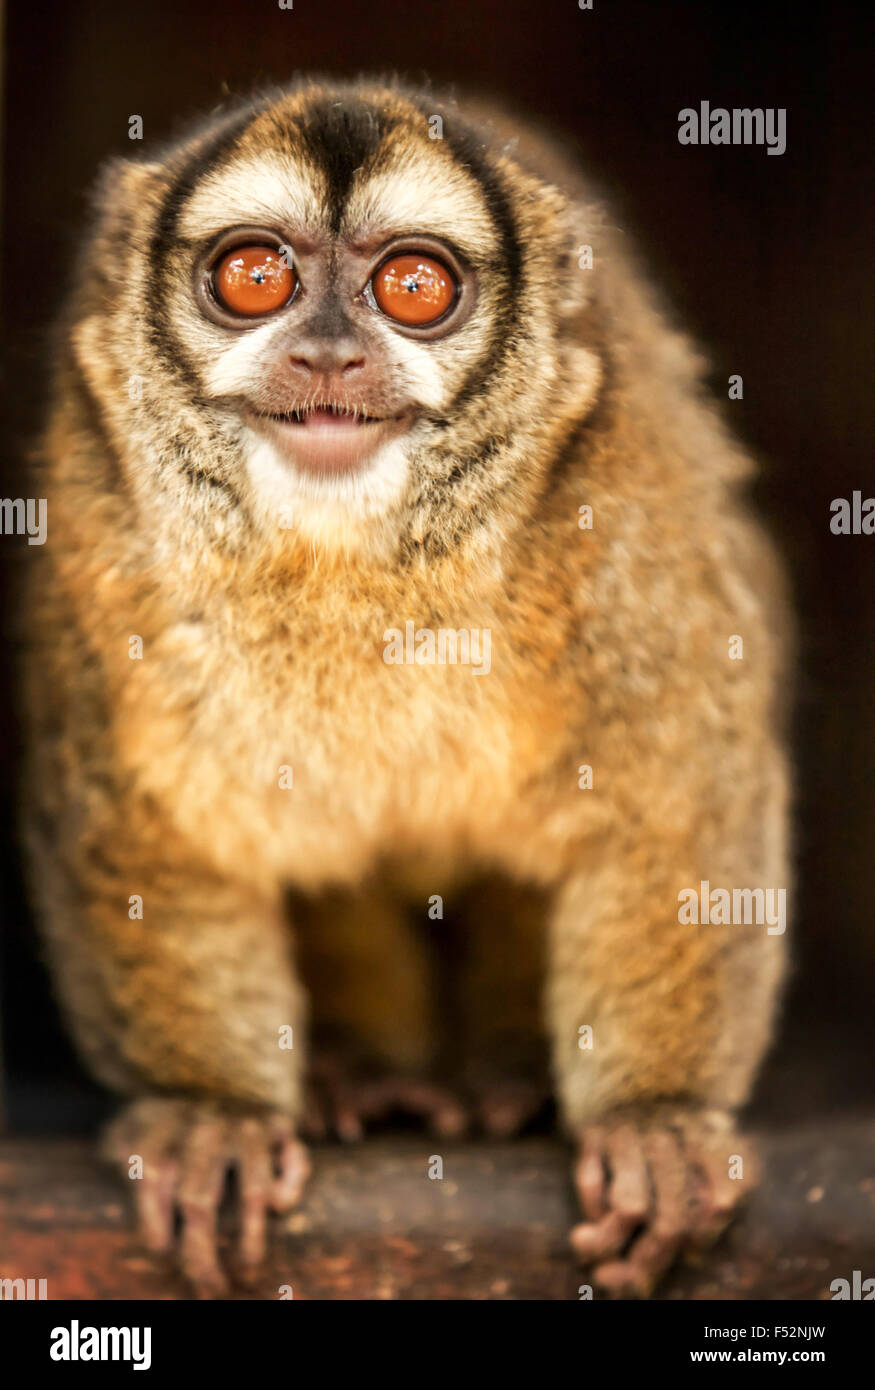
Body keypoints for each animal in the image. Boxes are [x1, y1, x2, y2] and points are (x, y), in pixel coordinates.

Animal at [25, 78, 790, 1289]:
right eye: (255, 276)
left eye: (413, 287)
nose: (331, 354)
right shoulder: (95, 518)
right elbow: (148, 829)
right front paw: (210, 1116)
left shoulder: (628, 494)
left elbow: (675, 796)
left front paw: (659, 1121)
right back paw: (354, 1072)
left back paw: (501, 1076)